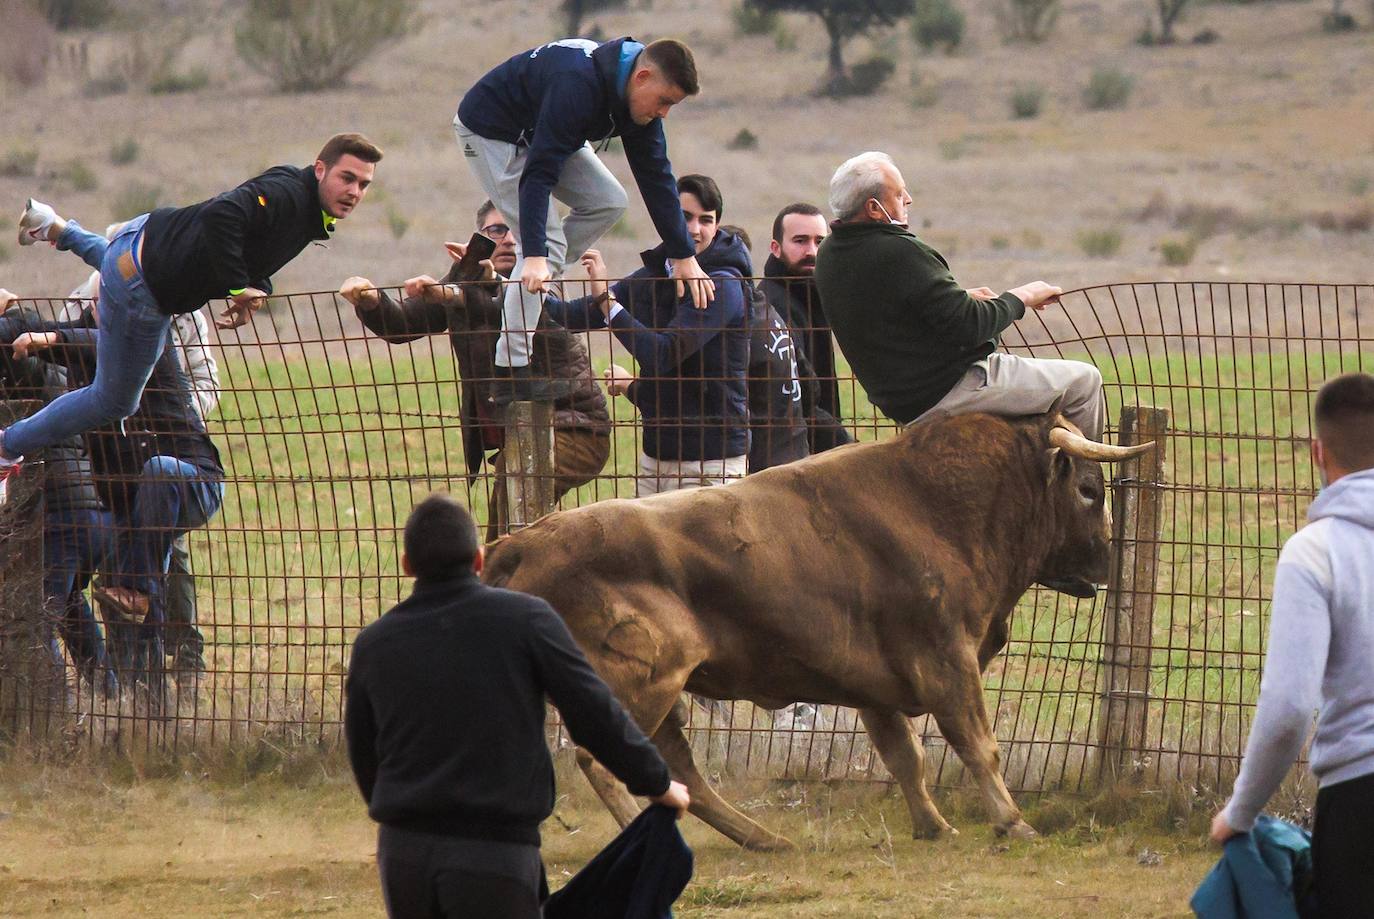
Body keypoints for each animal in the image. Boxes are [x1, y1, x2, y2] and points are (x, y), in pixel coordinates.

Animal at [483, 409, 1148, 846]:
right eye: (1089, 489)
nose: (1104, 565)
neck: (941, 509)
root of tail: (523, 541)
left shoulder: (876, 688)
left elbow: (906, 758)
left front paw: (933, 826)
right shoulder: (947, 660)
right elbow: (977, 744)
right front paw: (1012, 821)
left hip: (665, 692)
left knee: (679, 769)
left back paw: (763, 839)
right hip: (643, 681)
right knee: (606, 762)